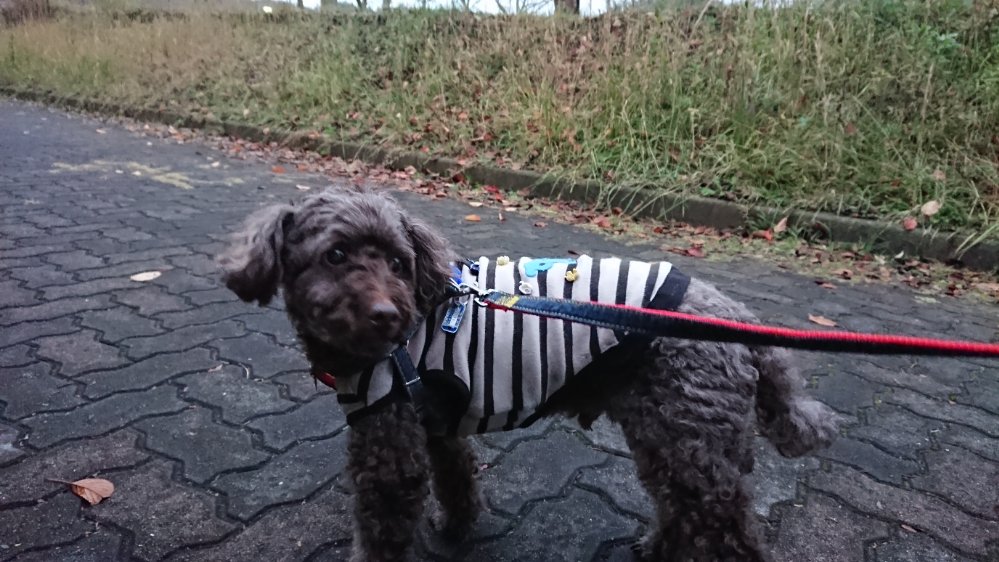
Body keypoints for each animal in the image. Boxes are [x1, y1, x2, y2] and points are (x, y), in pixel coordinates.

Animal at [218, 186, 839, 562]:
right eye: (336, 256)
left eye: (398, 262)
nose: (387, 316)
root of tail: (737, 319)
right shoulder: (436, 424)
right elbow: (458, 482)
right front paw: (456, 532)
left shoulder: (389, 441)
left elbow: (384, 529)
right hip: (675, 436)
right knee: (685, 507)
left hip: (689, 435)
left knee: (727, 530)